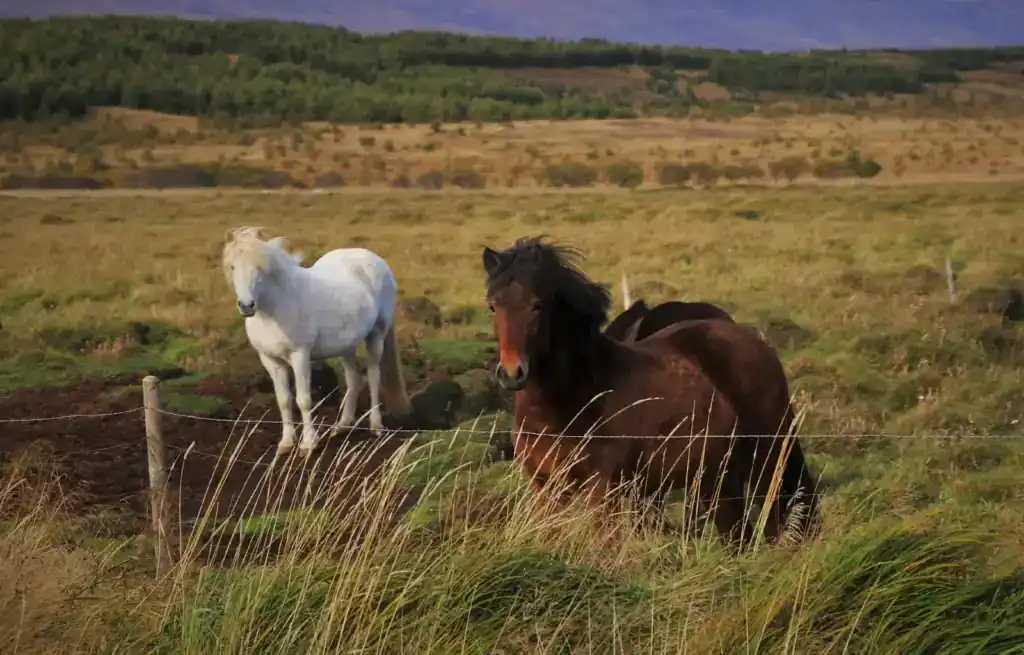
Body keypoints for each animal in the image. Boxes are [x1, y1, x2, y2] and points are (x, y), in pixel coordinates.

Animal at [222, 227, 412, 455]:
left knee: (374, 375)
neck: (274, 310)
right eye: (232, 266)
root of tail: (375, 259)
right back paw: (342, 426)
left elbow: (303, 400)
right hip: (346, 345)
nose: (246, 305)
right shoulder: (270, 361)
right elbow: (284, 400)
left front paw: (308, 444)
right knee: (353, 379)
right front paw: (286, 442)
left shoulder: (300, 356)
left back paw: (376, 426)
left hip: (376, 335)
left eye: (259, 267)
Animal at [482, 236, 783, 549]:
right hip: (716, 479)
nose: (512, 373)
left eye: (538, 305)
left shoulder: (604, 491)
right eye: (492, 306)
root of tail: (755, 341)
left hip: (764, 460)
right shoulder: (544, 488)